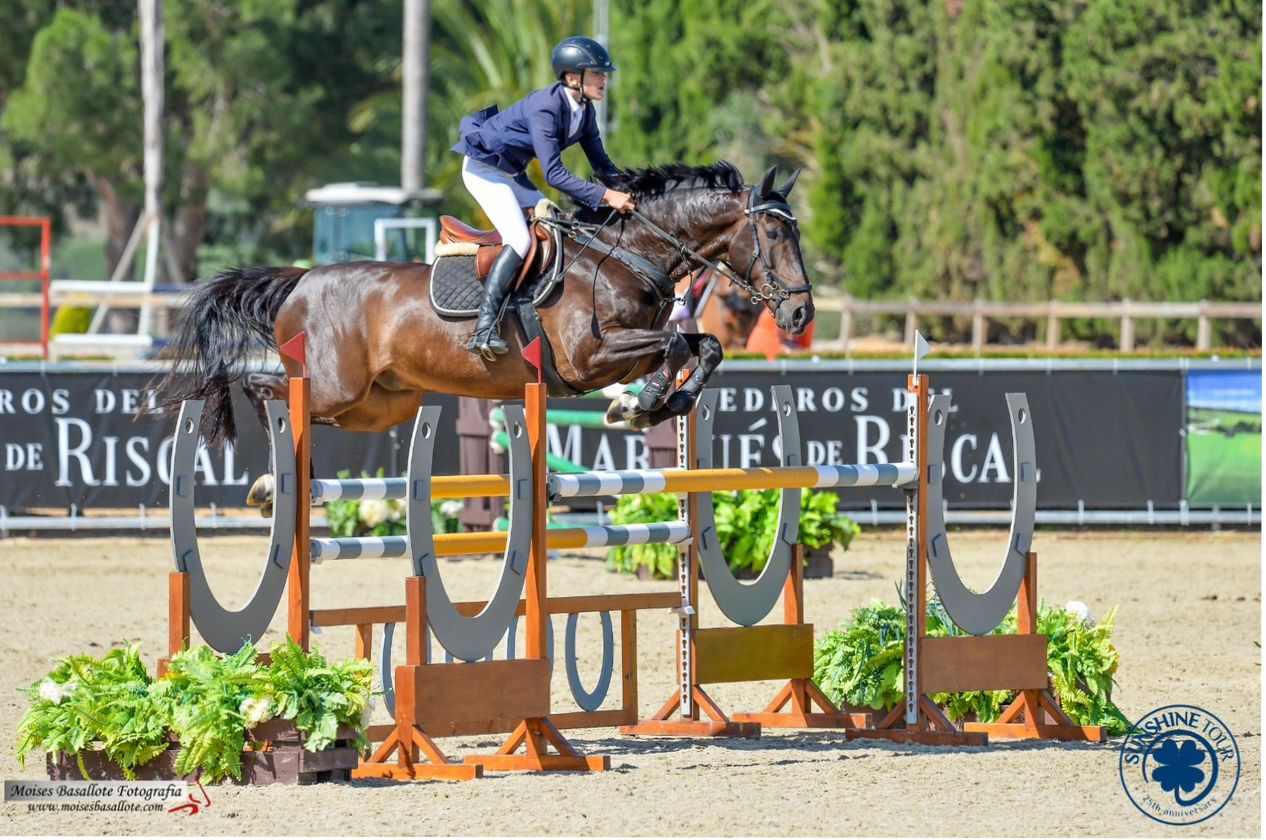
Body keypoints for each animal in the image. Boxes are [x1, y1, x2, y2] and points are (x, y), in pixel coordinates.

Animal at [148, 161, 815, 452]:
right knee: (265, 389)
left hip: (381, 405)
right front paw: (638, 404)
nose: (801, 317)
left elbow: (706, 346)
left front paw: (663, 402)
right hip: (335, 385)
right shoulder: (589, 358)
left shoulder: (628, 349)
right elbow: (676, 343)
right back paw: (272, 476)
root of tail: (301, 281)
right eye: (773, 234)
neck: (628, 254)